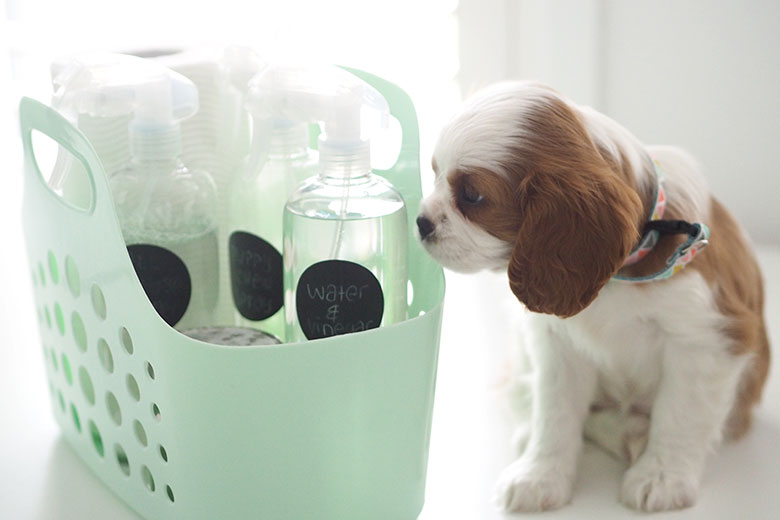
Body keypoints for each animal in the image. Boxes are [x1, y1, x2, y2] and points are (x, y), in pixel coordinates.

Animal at [418, 82, 772, 512]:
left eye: (472, 196)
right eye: (435, 174)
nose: (421, 222)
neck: (618, 277)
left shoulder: (704, 340)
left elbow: (678, 415)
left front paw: (662, 475)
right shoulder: (555, 343)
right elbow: (554, 413)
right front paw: (540, 475)